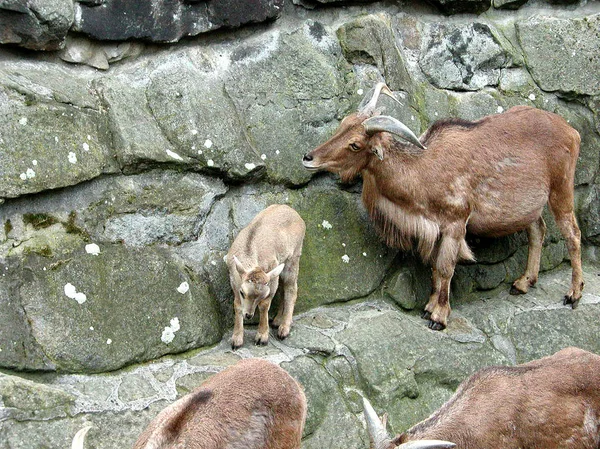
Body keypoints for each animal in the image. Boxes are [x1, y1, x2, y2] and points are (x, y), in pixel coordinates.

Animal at [229, 203, 308, 346]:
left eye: (262, 295)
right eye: (243, 293)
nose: (248, 315)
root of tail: (296, 214)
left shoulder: (272, 277)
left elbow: (265, 305)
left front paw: (262, 337)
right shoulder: (235, 281)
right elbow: (237, 305)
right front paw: (236, 339)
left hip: (294, 257)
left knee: (291, 289)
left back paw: (284, 328)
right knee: (283, 290)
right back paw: (277, 320)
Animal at [302, 82, 584, 328]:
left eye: (355, 144)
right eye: (342, 125)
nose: (308, 157)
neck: (421, 168)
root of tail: (572, 131)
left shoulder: (455, 223)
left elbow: (446, 267)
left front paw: (439, 317)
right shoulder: (434, 228)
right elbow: (435, 268)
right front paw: (429, 307)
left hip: (561, 190)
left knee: (572, 234)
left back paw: (574, 294)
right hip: (529, 205)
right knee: (538, 230)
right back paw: (523, 283)